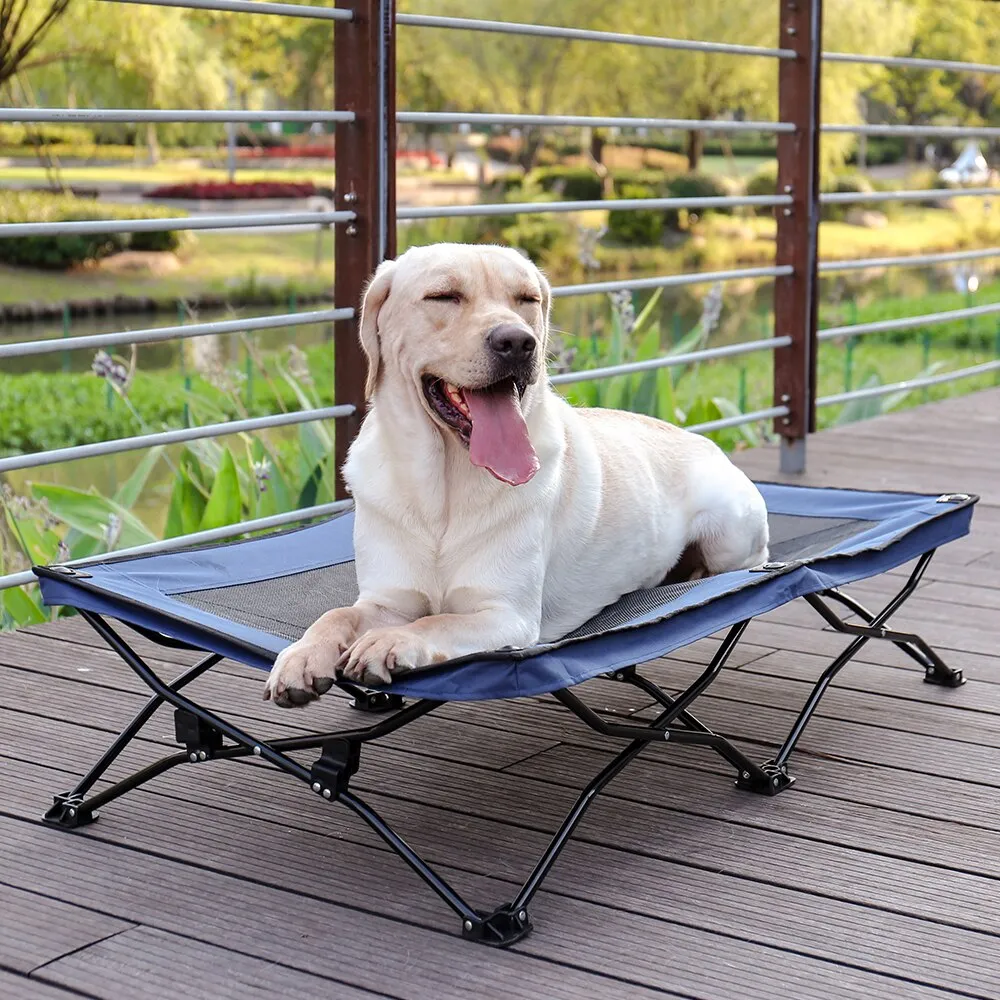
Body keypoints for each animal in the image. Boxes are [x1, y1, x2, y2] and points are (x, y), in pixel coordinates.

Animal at [264, 245, 764, 708]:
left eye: (526, 299)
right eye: (443, 296)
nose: (518, 342)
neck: (442, 490)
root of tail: (702, 440)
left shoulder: (507, 616)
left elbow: (436, 621)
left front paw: (389, 642)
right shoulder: (386, 600)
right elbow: (337, 615)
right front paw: (301, 656)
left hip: (730, 533)